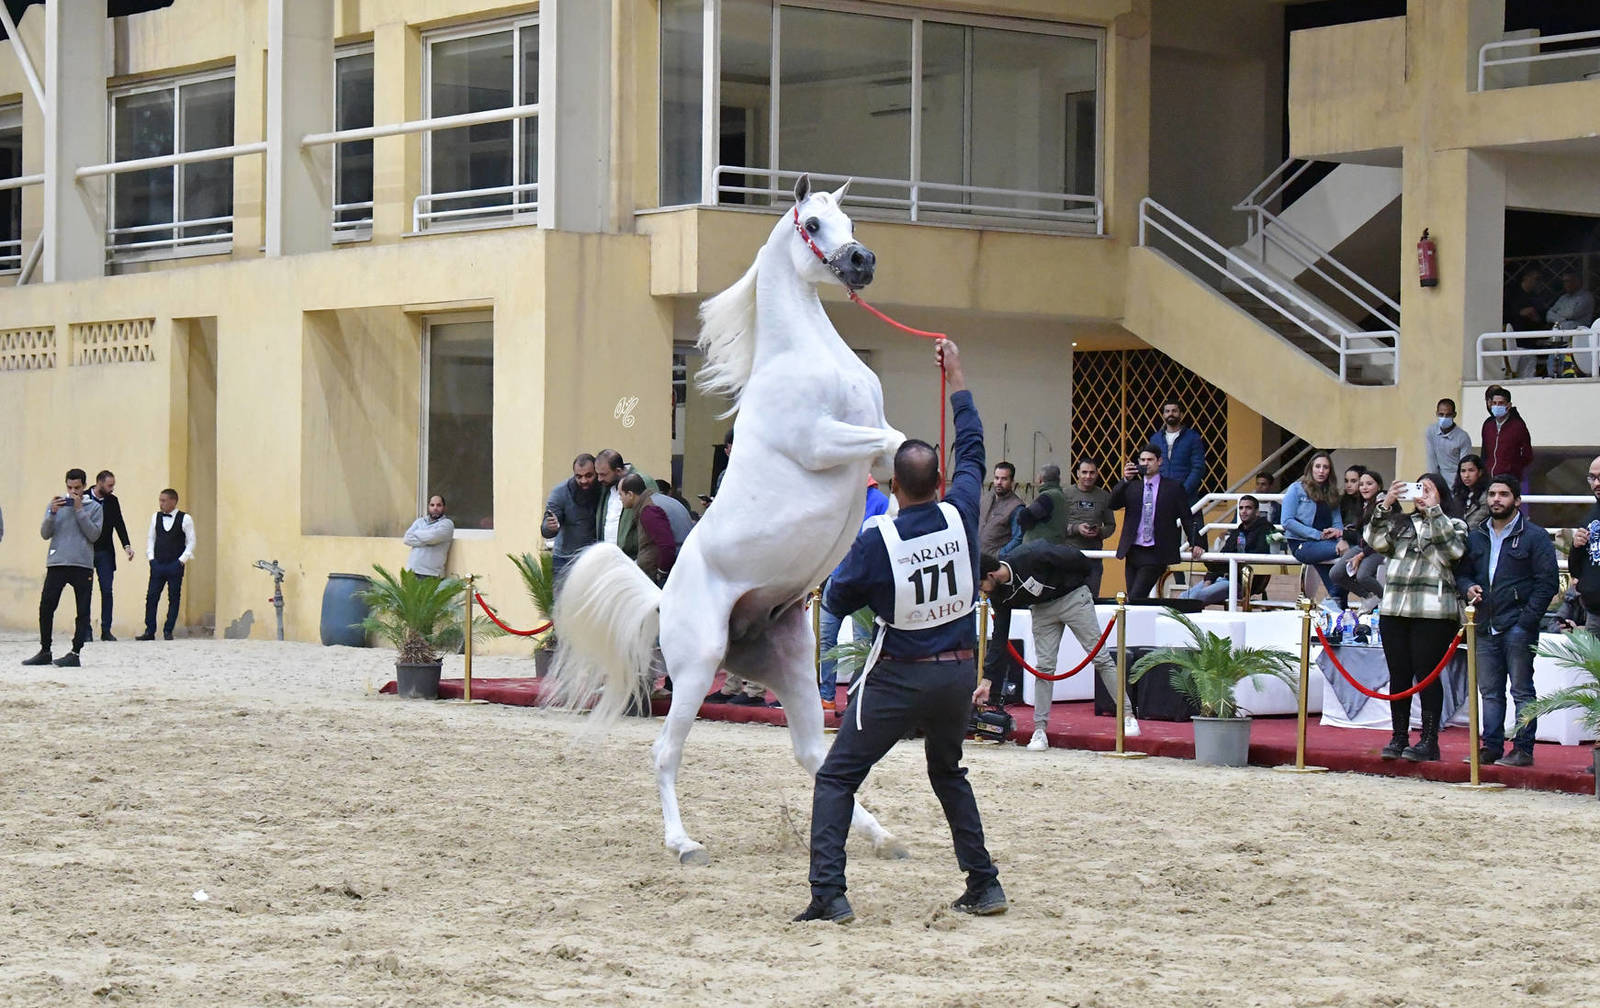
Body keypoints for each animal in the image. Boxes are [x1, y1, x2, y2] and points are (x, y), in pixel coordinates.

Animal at [547, 175, 909, 865]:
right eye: (812, 225)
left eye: (849, 220)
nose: (863, 262)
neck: (807, 355)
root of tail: (662, 601)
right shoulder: (823, 442)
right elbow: (894, 442)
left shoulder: (866, 440)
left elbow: (893, 450)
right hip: (697, 665)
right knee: (665, 752)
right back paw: (684, 843)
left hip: (790, 663)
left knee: (814, 754)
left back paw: (885, 837)